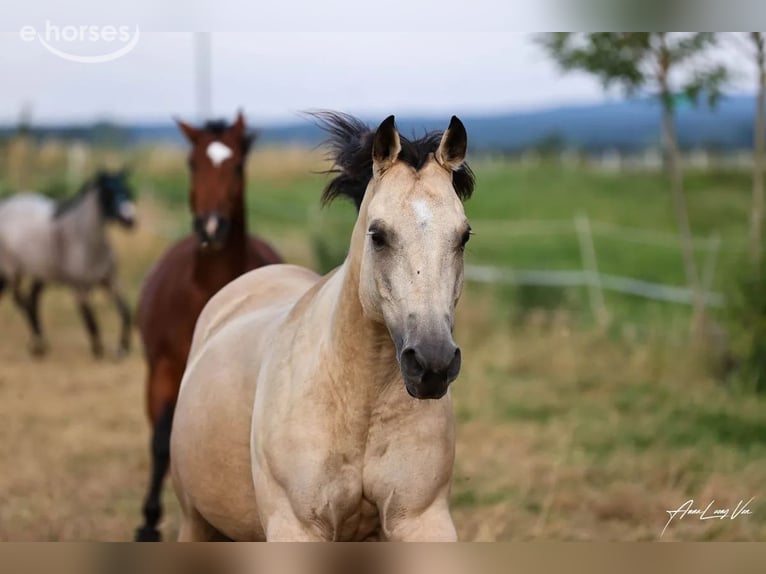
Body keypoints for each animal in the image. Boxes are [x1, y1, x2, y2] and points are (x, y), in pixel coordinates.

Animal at [0, 169, 135, 357]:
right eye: (108, 193)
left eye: (128, 191)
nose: (130, 220)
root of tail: (5, 205)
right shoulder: (80, 289)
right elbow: (91, 319)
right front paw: (98, 349)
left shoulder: (111, 282)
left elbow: (125, 312)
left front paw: (123, 348)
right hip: (13, 272)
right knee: (22, 301)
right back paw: (38, 342)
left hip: (39, 274)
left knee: (32, 300)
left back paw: (40, 343)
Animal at [134, 112, 282, 542]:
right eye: (192, 163)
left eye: (237, 166)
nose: (212, 227)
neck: (205, 288)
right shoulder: (164, 372)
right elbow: (160, 443)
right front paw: (148, 521)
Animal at [170, 112, 475, 541]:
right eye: (378, 235)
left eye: (463, 236)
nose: (432, 363)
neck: (358, 401)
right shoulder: (296, 526)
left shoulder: (422, 518)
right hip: (195, 520)